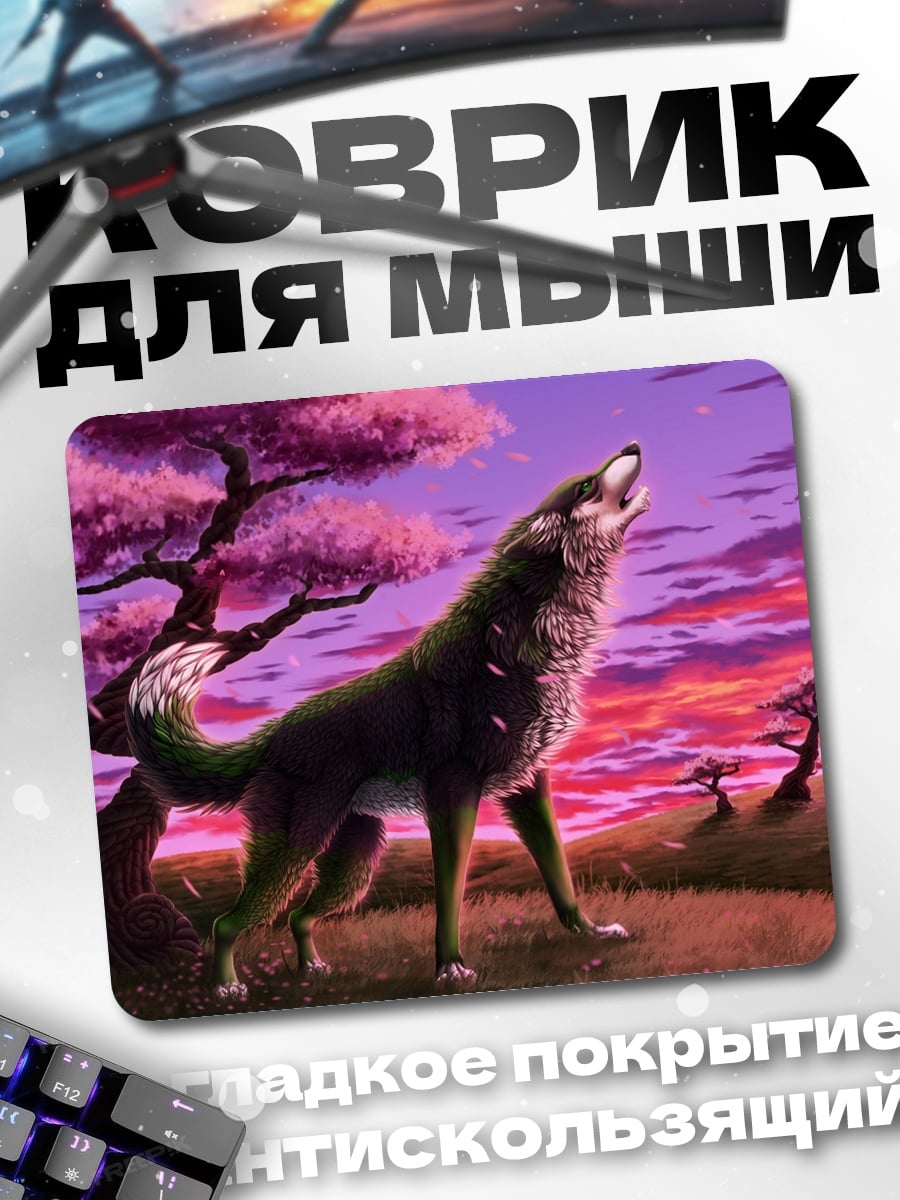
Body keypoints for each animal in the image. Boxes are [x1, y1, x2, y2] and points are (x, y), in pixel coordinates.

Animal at [126, 441, 651, 998]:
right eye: (586, 485)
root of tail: (269, 737)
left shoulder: (528, 784)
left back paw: (312, 971)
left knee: (300, 917)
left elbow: (559, 874)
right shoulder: (452, 791)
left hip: (353, 858)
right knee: (229, 923)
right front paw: (450, 968)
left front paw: (590, 933)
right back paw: (227, 988)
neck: (524, 633)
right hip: (296, 844)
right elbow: (450, 893)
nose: (633, 445)